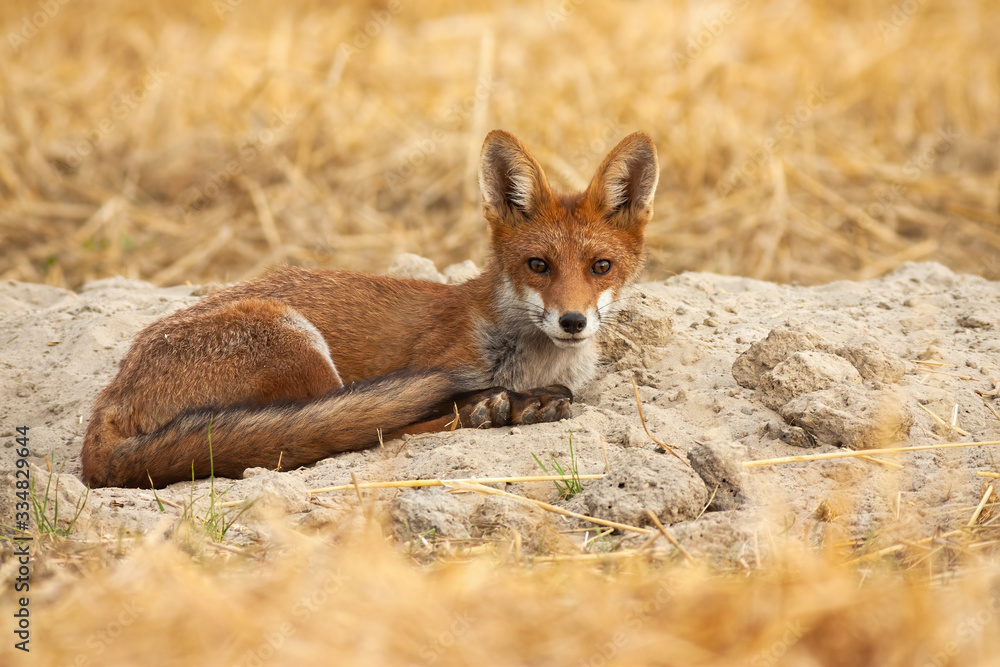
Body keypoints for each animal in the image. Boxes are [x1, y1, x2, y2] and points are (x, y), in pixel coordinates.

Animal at [80, 129, 659, 488]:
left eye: (601, 267)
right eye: (538, 265)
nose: (572, 321)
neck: (532, 362)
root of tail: (108, 400)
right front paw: (508, 404)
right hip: (299, 349)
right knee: (356, 434)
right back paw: (494, 410)